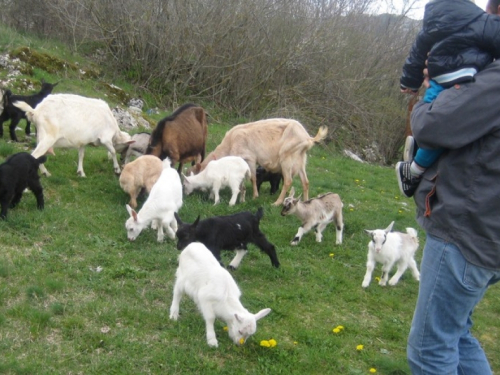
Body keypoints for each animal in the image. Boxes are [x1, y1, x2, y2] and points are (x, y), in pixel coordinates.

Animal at [195, 119, 328, 206]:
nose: (201, 191)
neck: (230, 143)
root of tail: (308, 138)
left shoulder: (250, 158)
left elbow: (253, 178)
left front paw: (254, 196)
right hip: (300, 160)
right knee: (305, 181)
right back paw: (306, 202)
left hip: (286, 158)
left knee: (288, 181)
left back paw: (277, 202)